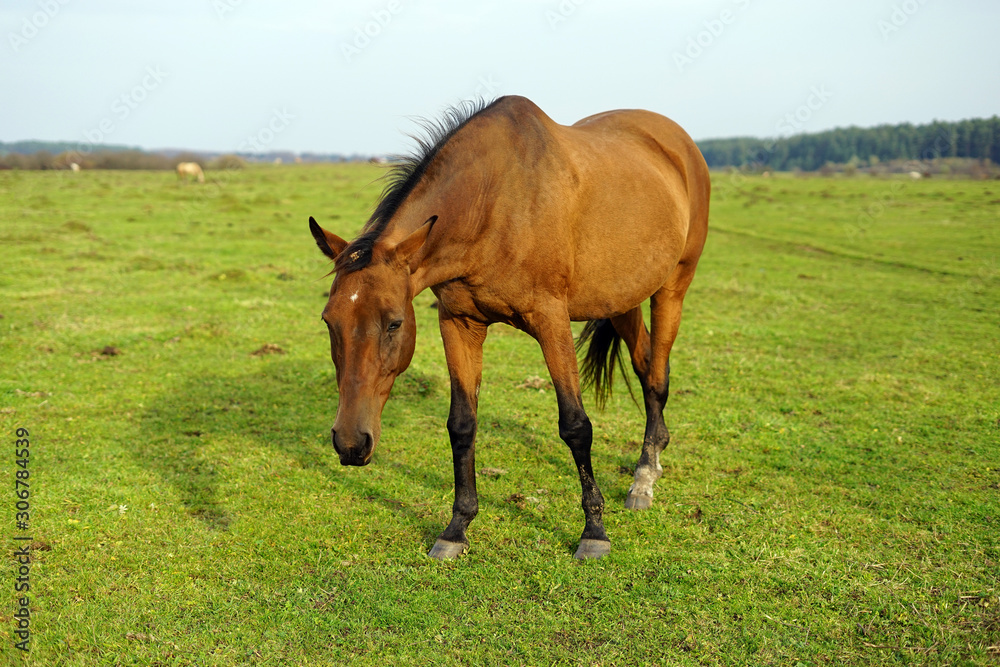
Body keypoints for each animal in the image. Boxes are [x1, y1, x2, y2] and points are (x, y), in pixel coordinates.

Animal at [308, 96, 709, 559]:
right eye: (329, 321)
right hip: (620, 298)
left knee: (658, 375)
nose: (350, 444)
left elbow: (576, 426)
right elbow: (462, 425)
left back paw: (644, 477)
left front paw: (594, 532)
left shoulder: (551, 320)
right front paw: (456, 529)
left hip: (673, 286)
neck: (493, 204)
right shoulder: (459, 323)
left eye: (394, 323)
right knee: (645, 363)